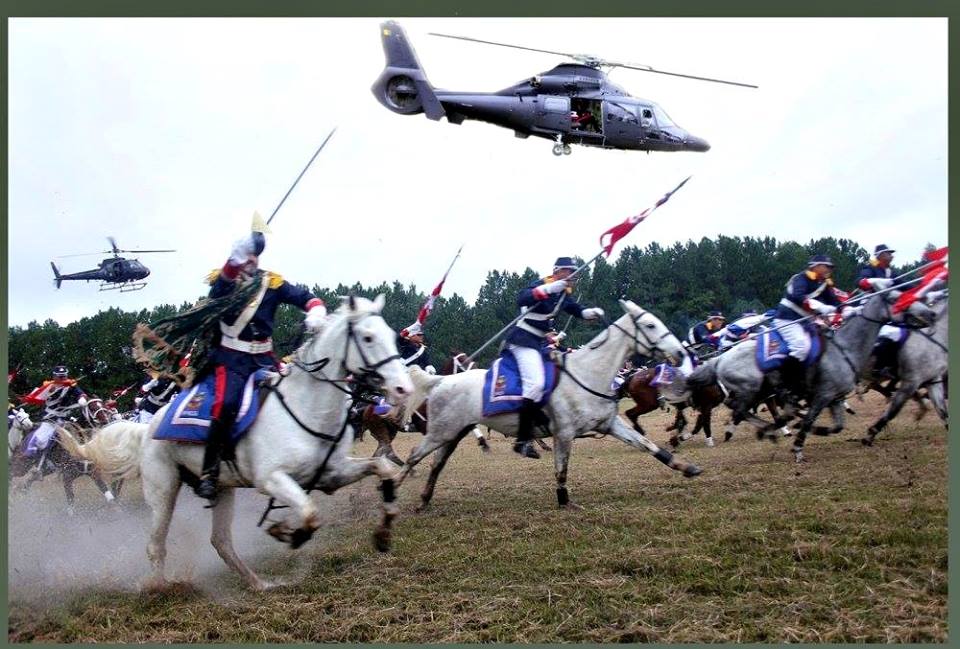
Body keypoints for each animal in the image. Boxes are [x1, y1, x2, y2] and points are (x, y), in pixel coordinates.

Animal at [57, 296, 412, 588]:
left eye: (390, 335)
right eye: (368, 337)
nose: (403, 389)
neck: (305, 408)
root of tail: (147, 429)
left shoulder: (330, 473)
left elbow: (383, 468)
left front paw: (383, 532)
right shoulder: (271, 480)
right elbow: (310, 513)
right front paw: (286, 532)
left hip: (222, 489)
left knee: (221, 542)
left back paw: (257, 583)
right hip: (162, 490)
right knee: (156, 543)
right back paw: (158, 588)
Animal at [394, 300, 700, 512]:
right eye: (649, 326)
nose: (680, 352)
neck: (588, 374)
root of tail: (441, 381)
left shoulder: (611, 424)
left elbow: (648, 445)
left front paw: (685, 467)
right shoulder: (564, 433)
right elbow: (561, 469)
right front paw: (565, 501)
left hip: (453, 434)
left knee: (436, 464)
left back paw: (424, 499)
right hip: (439, 433)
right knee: (413, 456)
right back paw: (393, 487)